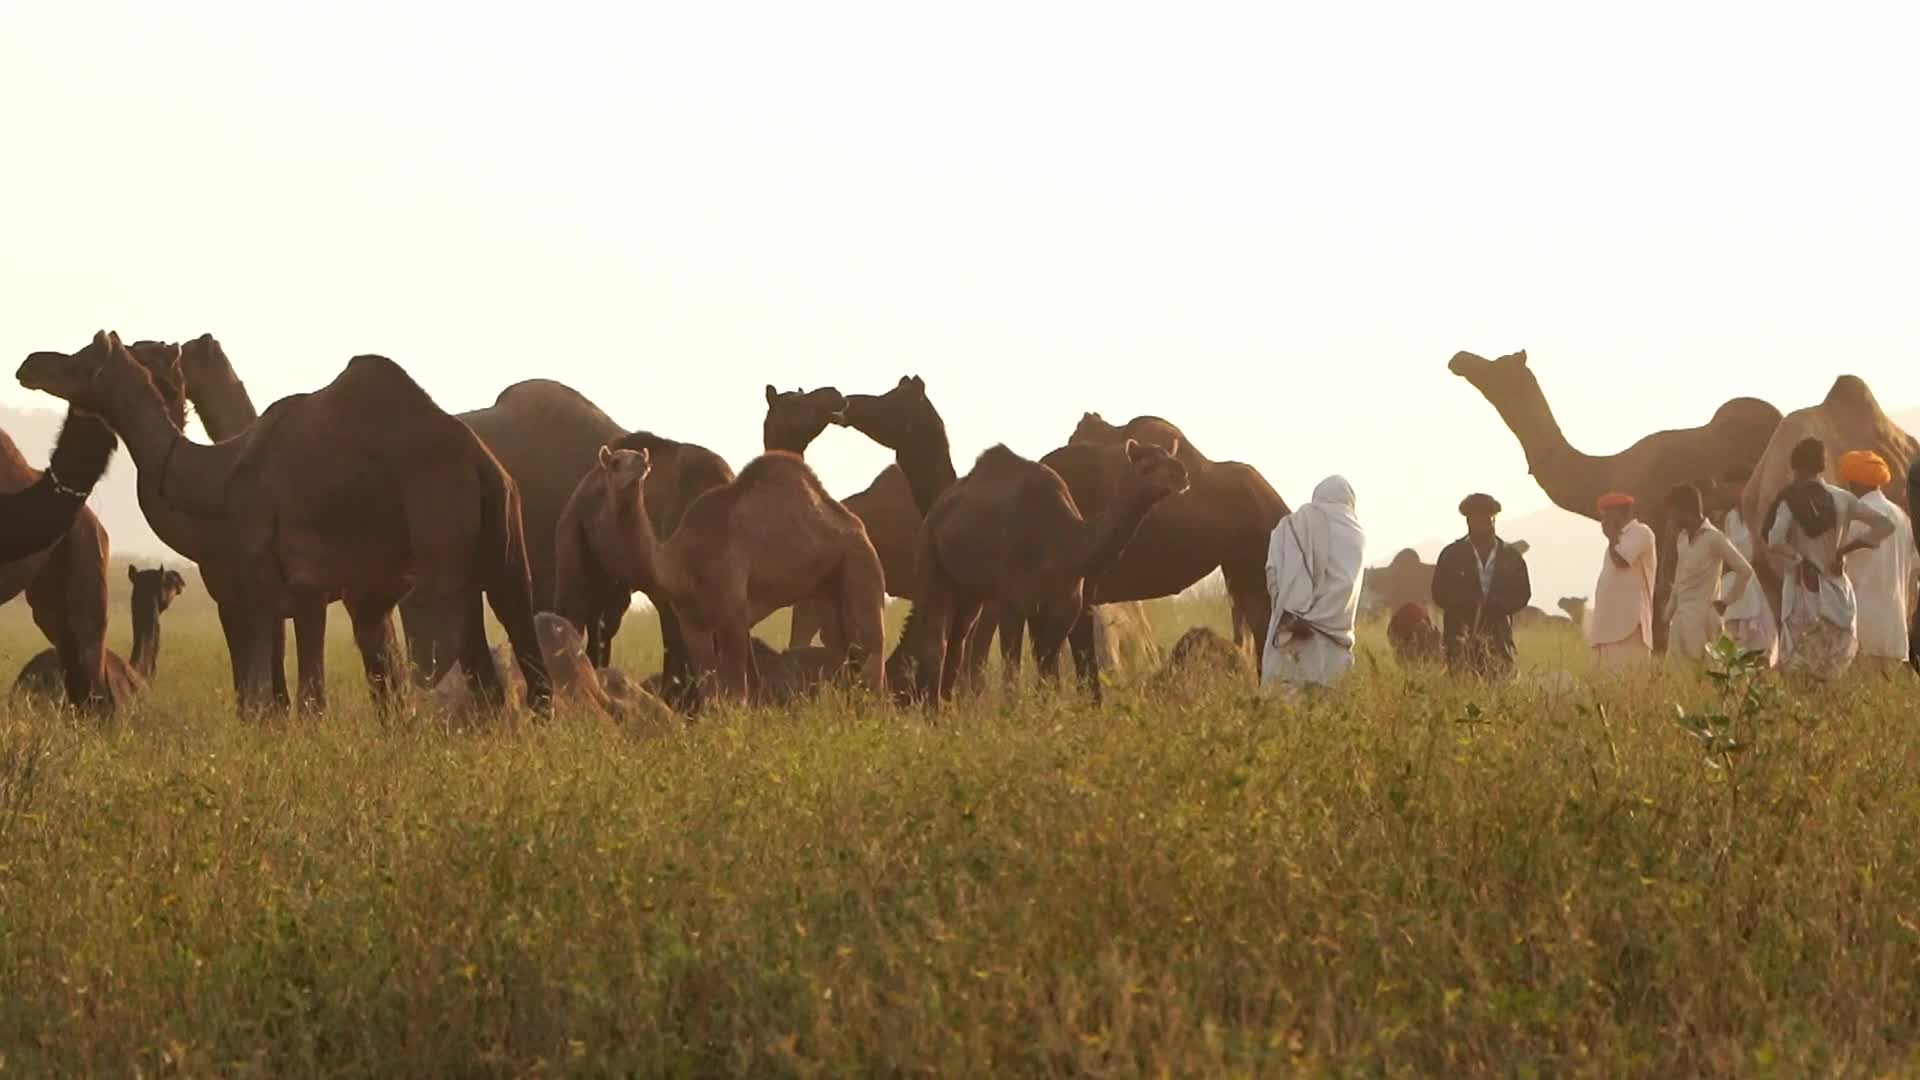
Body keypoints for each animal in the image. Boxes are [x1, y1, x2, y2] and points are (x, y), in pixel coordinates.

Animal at [555, 446, 885, 703]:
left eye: (638, 457)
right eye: (615, 462)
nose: (640, 464)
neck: (682, 562)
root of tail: (858, 527)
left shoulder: (733, 614)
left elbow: (737, 692)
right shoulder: (692, 622)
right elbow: (709, 691)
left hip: (860, 564)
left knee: (871, 651)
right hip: (829, 588)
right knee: (845, 654)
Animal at [906, 440, 1190, 702]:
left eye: (1170, 455)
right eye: (1148, 465)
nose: (1182, 473)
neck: (1064, 541)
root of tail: (937, 509)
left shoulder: (1065, 603)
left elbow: (1047, 667)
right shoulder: (1013, 601)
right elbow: (1013, 668)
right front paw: (1014, 712)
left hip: (970, 591)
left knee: (958, 639)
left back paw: (948, 708)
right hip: (930, 557)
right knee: (937, 641)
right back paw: (935, 712)